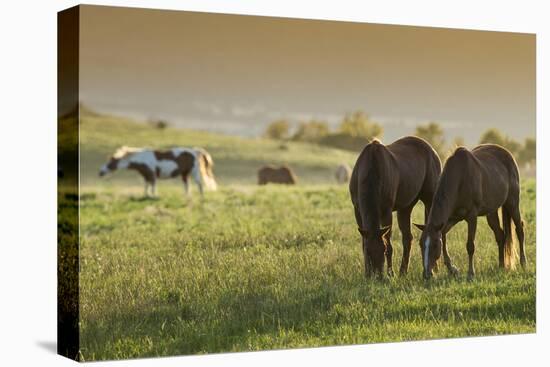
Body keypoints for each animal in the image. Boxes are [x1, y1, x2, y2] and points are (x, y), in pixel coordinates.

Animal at [352, 137, 442, 278]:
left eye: (383, 249)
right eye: (368, 251)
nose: (377, 276)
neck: (372, 168)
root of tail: (432, 150)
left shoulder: (386, 211)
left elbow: (389, 244)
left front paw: (390, 273)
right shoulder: (357, 210)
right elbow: (363, 242)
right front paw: (366, 273)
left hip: (429, 199)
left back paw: (434, 268)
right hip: (405, 207)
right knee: (407, 238)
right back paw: (403, 271)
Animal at [416, 144, 528, 282]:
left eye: (435, 245)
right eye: (421, 244)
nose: (426, 274)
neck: (459, 179)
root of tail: (508, 155)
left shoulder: (472, 216)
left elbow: (470, 246)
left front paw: (470, 273)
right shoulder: (452, 218)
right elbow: (444, 236)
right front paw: (452, 269)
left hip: (512, 203)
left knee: (519, 229)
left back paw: (523, 263)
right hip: (491, 212)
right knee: (500, 235)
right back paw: (501, 265)